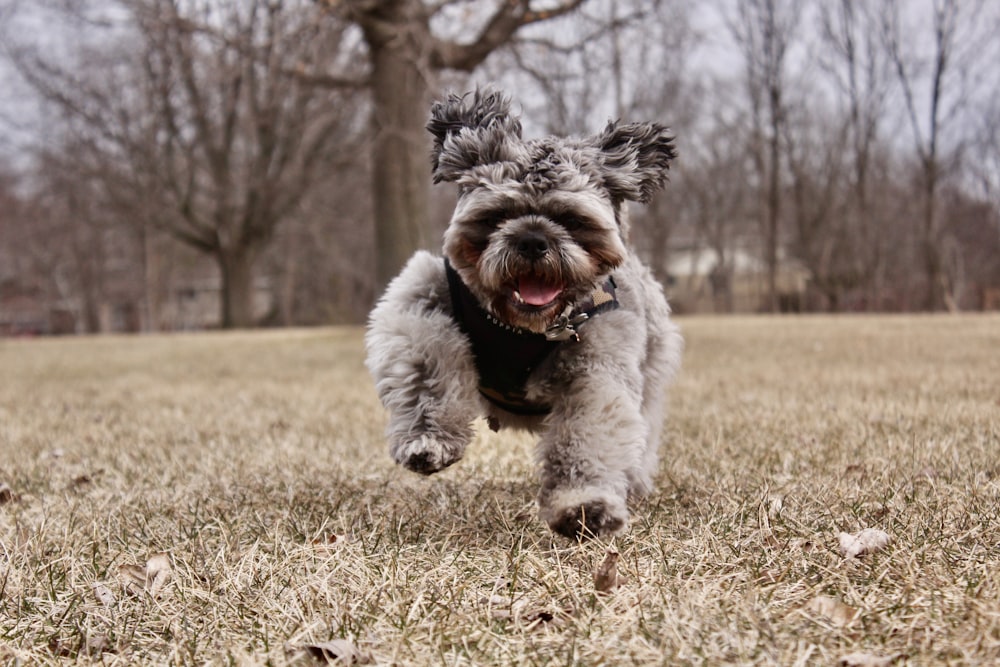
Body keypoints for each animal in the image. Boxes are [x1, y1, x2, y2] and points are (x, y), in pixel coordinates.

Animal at [368, 88, 688, 540]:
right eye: (499, 214)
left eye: (572, 219)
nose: (533, 240)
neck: (520, 328)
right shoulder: (419, 299)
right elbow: (429, 369)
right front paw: (428, 439)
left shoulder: (597, 369)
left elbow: (589, 434)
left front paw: (583, 505)